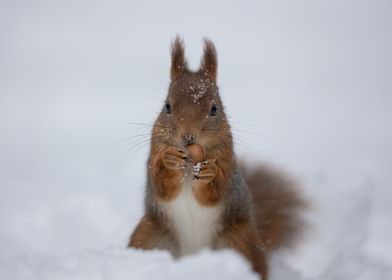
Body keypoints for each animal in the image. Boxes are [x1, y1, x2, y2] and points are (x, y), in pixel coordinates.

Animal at [129, 37, 306, 280]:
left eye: (214, 108)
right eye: (167, 106)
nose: (188, 136)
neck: (189, 163)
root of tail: (193, 257)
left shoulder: (227, 158)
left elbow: (216, 190)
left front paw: (208, 173)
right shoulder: (154, 150)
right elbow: (161, 186)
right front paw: (169, 161)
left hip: (240, 242)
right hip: (149, 237)